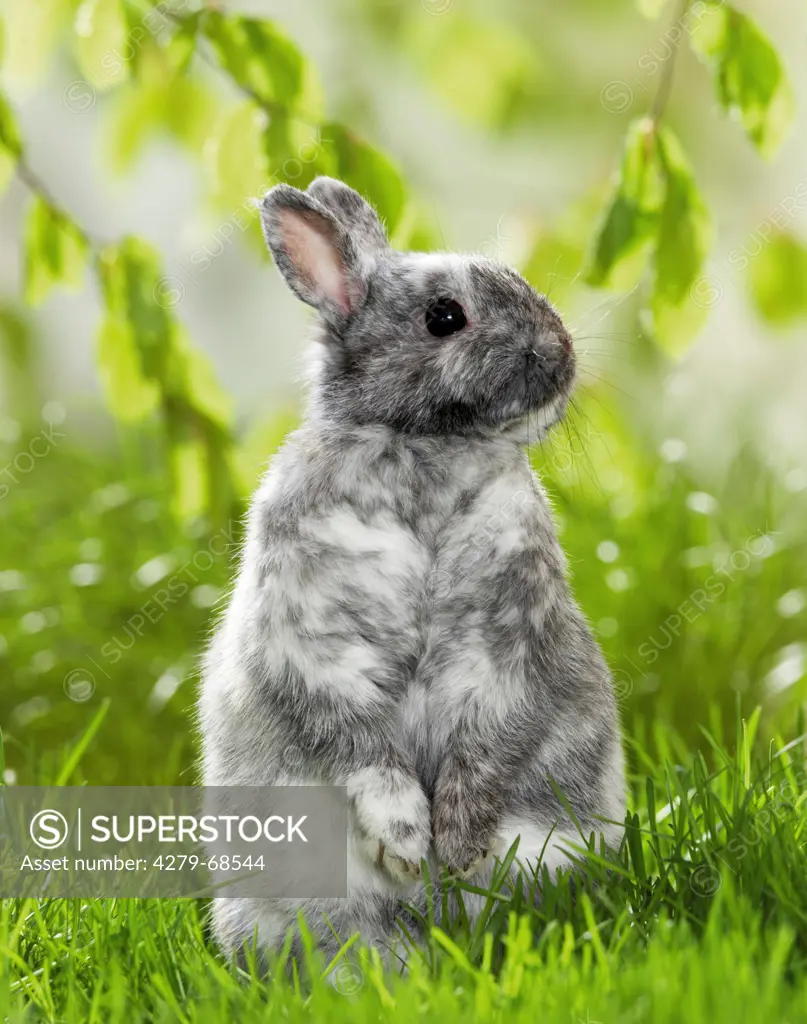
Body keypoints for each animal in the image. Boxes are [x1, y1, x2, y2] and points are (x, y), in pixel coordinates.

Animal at [198, 174, 626, 966]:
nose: (559, 353)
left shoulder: (507, 650)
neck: (426, 450)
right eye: (444, 317)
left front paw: (454, 843)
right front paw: (405, 843)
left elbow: (488, 743)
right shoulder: (319, 651)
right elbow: (363, 748)